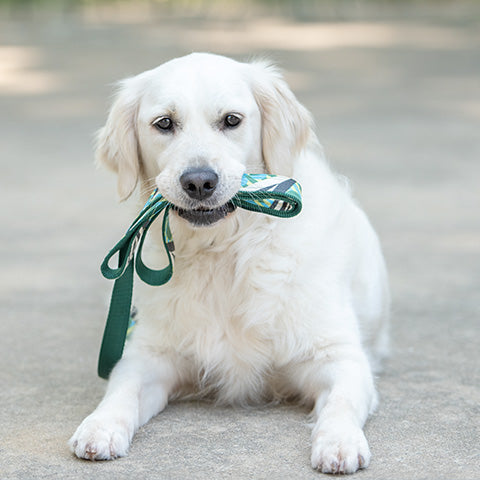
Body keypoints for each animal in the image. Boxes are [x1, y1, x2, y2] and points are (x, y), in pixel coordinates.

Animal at [68, 54, 390, 474]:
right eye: (164, 123)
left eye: (231, 120)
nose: (199, 181)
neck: (224, 253)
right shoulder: (150, 354)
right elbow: (121, 389)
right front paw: (99, 426)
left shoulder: (337, 354)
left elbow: (342, 400)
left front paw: (339, 442)